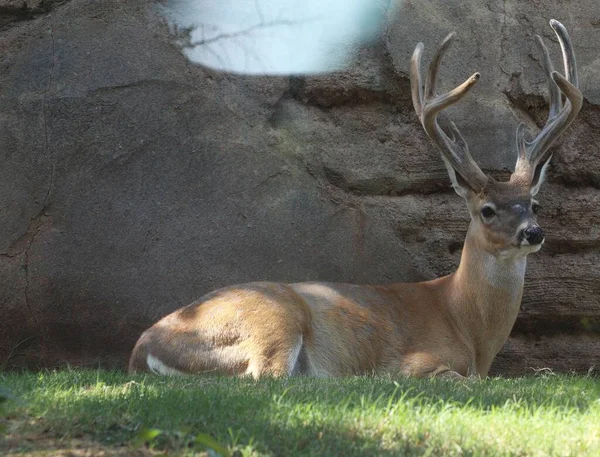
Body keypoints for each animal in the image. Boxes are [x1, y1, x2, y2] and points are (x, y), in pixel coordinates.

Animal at [130, 20, 580, 378]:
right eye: (487, 210)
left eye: (534, 204)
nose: (533, 232)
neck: (465, 324)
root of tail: (142, 347)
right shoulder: (416, 362)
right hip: (273, 319)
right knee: (266, 376)